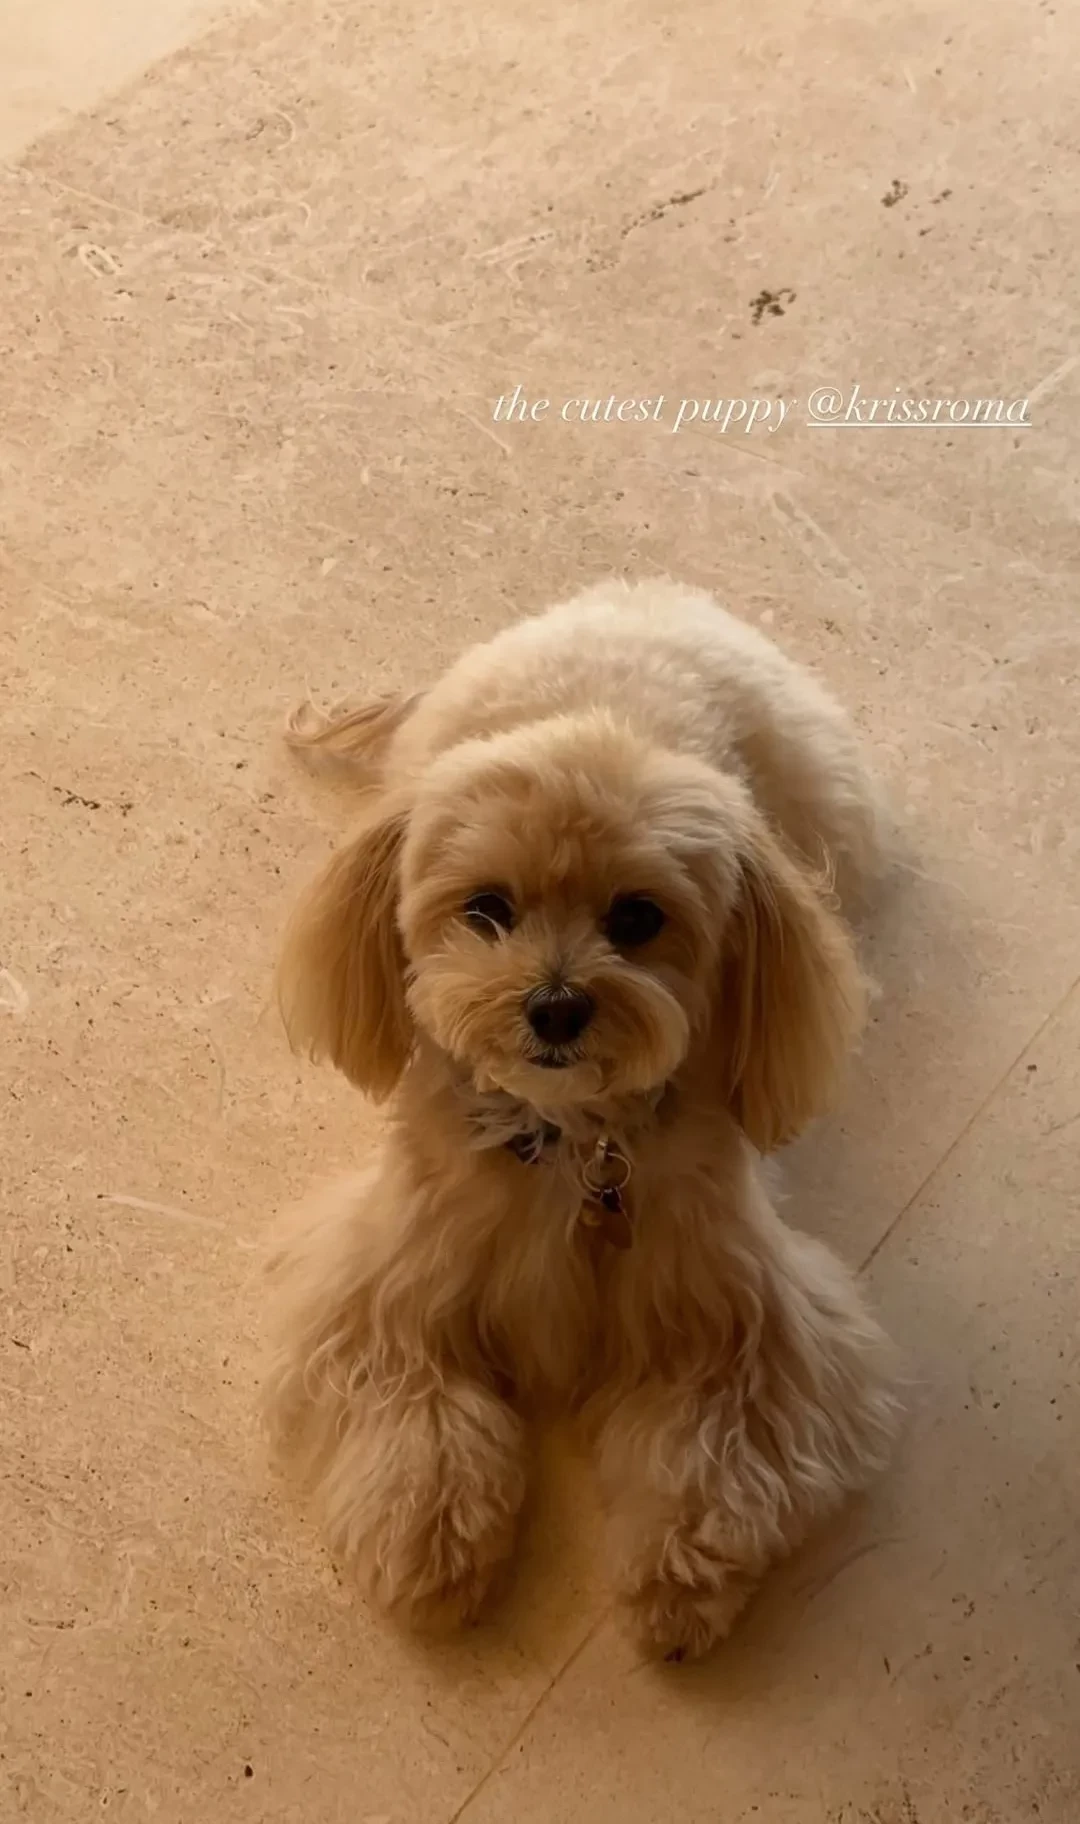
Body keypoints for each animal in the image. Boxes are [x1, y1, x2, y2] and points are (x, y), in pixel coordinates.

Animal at [264, 578, 900, 1661]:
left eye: (637, 918)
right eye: (486, 908)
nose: (555, 1007)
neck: (569, 1140)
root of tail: (633, 597)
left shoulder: (750, 1318)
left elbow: (708, 1452)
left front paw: (678, 1581)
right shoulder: (383, 1284)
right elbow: (419, 1417)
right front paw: (431, 1542)